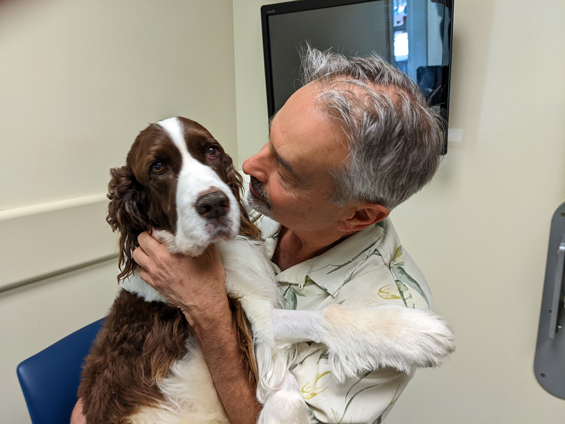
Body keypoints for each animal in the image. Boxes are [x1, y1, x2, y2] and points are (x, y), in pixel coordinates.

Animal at [77, 116, 454, 424]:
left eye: (211, 150)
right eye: (157, 166)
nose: (214, 203)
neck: (213, 252)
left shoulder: (247, 313)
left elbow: (296, 361)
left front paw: (410, 332)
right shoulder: (248, 319)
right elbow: (307, 347)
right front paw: (416, 333)